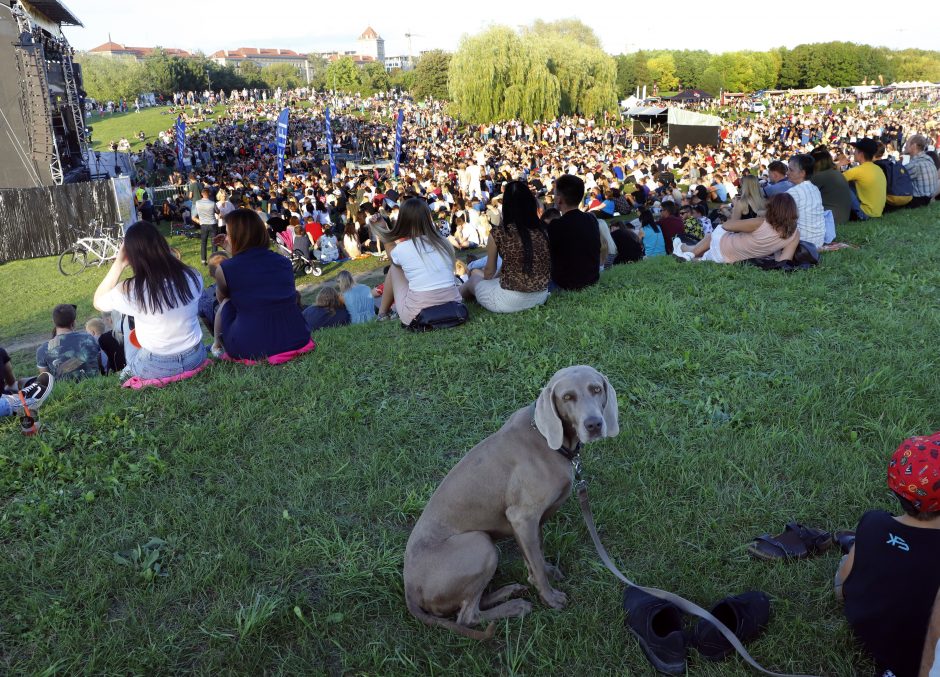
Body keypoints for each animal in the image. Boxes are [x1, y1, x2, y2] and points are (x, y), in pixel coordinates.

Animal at [402, 368, 616, 636]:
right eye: (567, 397)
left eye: (596, 389)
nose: (594, 424)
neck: (546, 440)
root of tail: (409, 591)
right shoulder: (522, 517)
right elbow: (536, 563)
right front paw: (550, 598)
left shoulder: (530, 523)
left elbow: (535, 556)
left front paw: (545, 573)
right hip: (480, 544)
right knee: (466, 617)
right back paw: (516, 607)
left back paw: (508, 591)